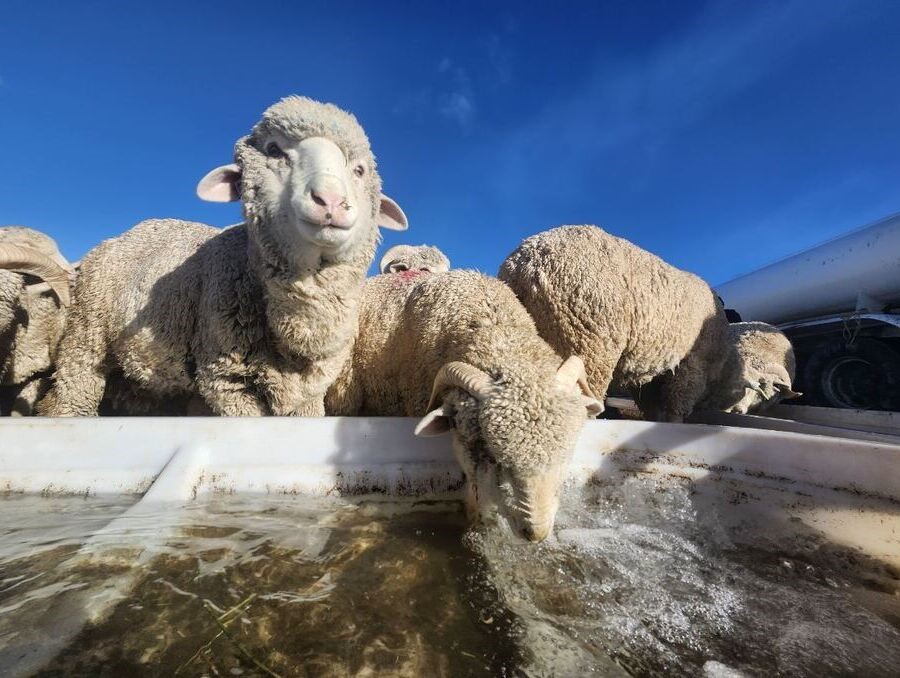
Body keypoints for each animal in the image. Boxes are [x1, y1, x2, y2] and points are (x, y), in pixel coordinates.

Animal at [39, 96, 408, 417]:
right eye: (274, 150)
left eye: (358, 170)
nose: (330, 200)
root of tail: (122, 236)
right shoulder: (226, 382)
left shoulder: (308, 393)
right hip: (85, 337)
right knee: (72, 392)